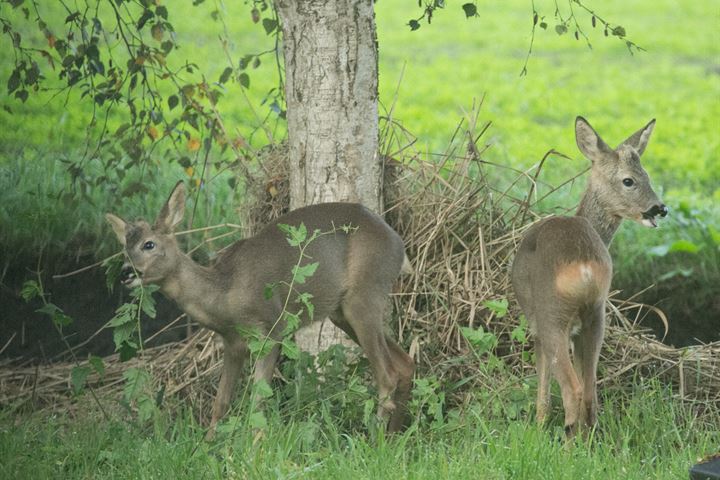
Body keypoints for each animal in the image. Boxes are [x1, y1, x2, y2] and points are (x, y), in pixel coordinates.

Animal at [104, 183, 414, 438]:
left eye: (149, 244)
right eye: (124, 249)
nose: (125, 273)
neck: (223, 293)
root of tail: (400, 246)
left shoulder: (270, 330)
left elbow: (258, 400)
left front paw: (253, 450)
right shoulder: (232, 344)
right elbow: (221, 403)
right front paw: (206, 447)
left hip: (364, 294)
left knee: (387, 374)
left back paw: (375, 440)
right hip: (341, 312)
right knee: (405, 364)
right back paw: (393, 437)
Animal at [512, 117, 668, 438]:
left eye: (643, 176)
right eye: (630, 180)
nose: (660, 208)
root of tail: (583, 264)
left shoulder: (535, 323)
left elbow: (542, 379)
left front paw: (538, 425)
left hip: (552, 314)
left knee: (572, 389)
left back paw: (568, 441)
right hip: (596, 313)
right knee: (590, 390)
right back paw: (586, 439)